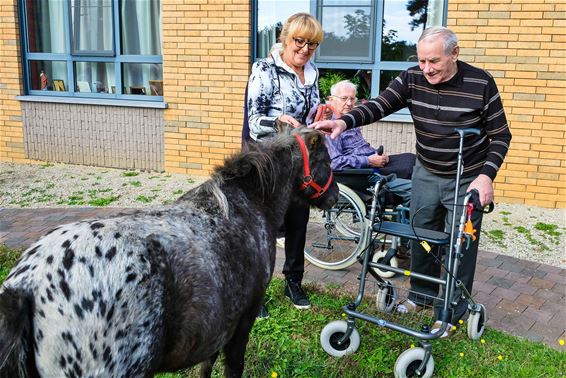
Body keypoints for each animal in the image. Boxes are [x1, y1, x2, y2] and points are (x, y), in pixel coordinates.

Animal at [0, 127, 338, 378]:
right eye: (327, 160)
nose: (334, 197)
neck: (247, 203)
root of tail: (26, 286)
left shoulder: (218, 324)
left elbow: (207, 364)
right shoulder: (243, 319)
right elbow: (231, 365)